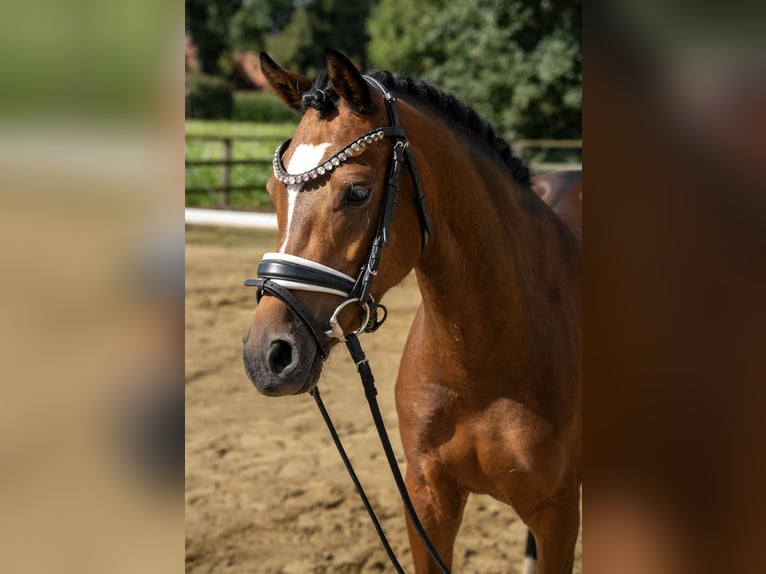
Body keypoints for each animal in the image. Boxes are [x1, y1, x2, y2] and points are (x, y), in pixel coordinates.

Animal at [242, 49, 584, 574]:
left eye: (357, 192)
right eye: (271, 193)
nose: (267, 356)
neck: (482, 362)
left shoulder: (559, 515)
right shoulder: (426, 500)